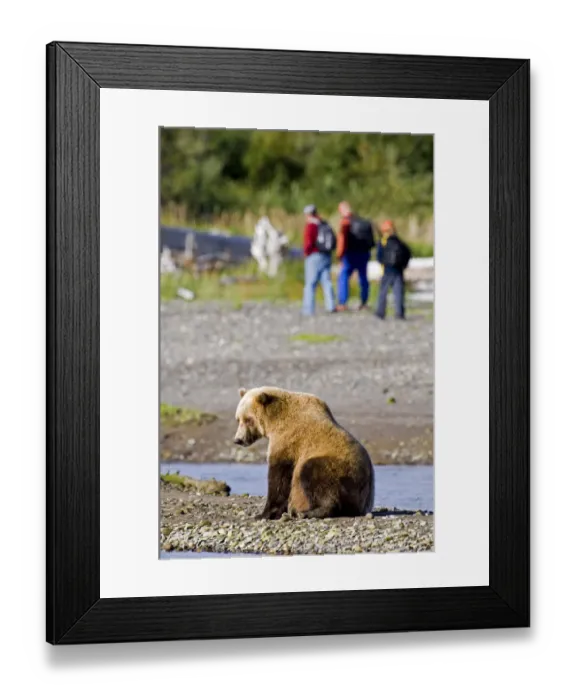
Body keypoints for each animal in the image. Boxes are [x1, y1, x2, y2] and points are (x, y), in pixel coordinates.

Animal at [233, 386, 374, 520]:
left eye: (248, 419)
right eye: (238, 419)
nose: (238, 440)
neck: (275, 420)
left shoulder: (289, 440)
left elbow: (280, 477)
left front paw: (264, 514)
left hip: (341, 470)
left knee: (313, 473)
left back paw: (307, 512)